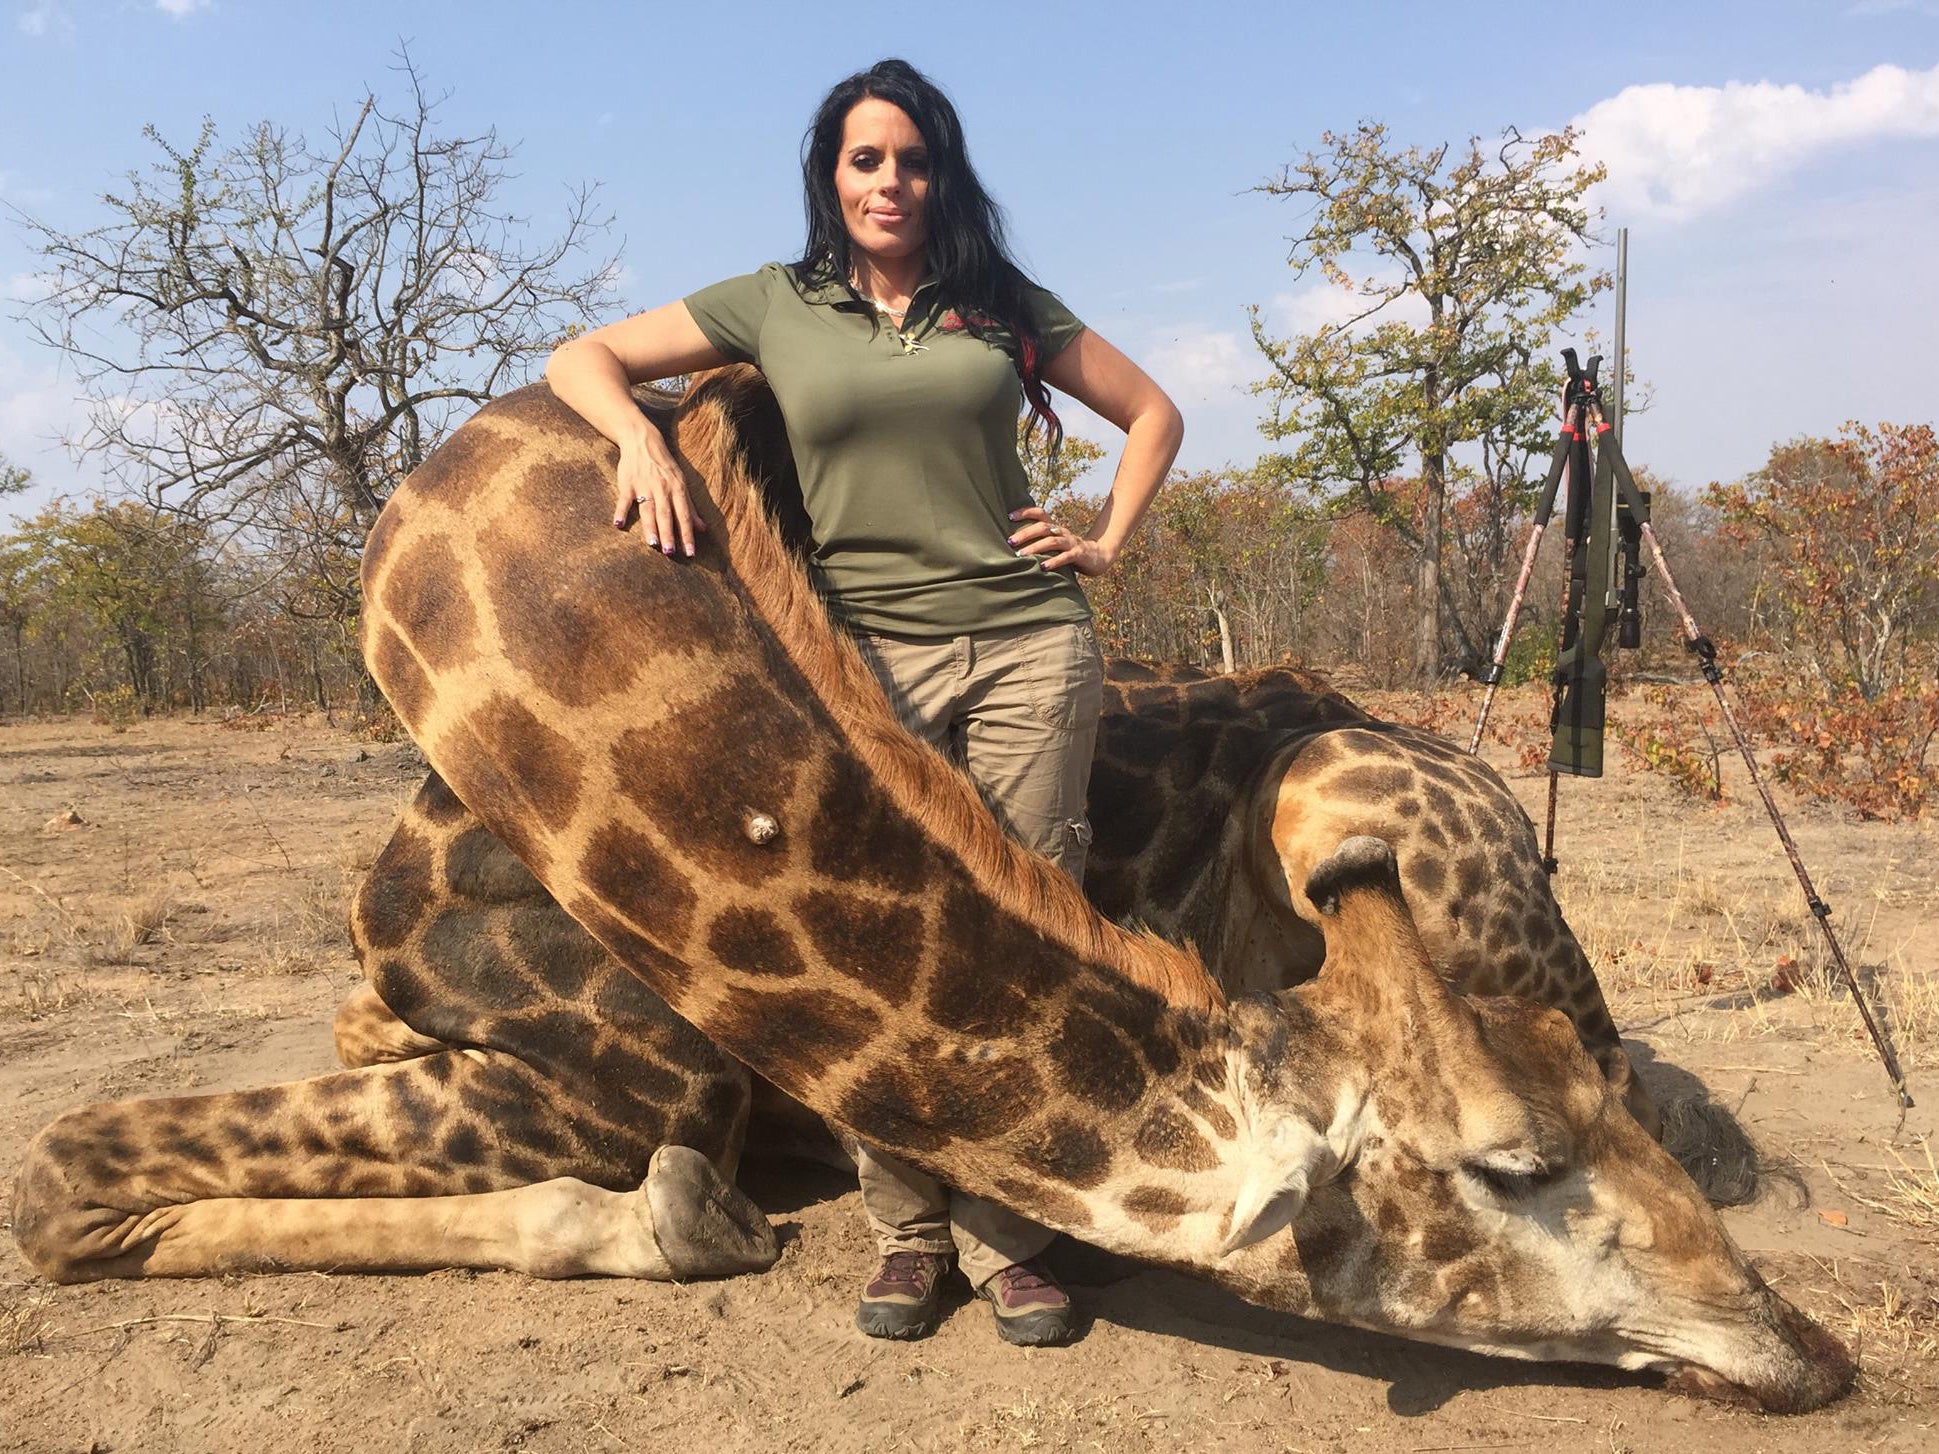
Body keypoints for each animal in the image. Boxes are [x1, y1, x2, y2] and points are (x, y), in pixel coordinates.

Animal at [11, 372, 1845, 1411]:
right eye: (1510, 1167)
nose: (1805, 1350)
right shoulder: (500, 1043)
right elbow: (64, 1167)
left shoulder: (629, 1079)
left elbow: (62, 1170)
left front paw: (688, 1213)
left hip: (1347, 785)